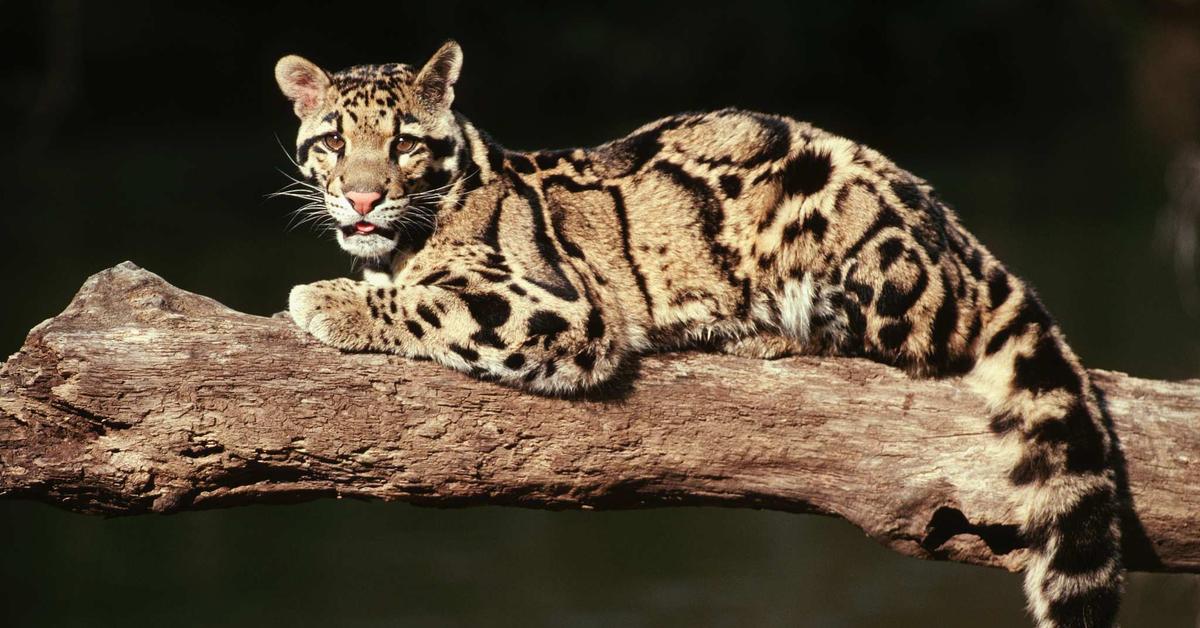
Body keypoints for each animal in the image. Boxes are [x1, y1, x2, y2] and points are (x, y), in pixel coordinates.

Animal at [276, 40, 1118, 628]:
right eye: (332, 142)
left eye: (405, 143)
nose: (361, 198)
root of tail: (957, 237)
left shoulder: (563, 307)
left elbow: (429, 302)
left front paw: (331, 300)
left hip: (858, 248)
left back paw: (761, 333)